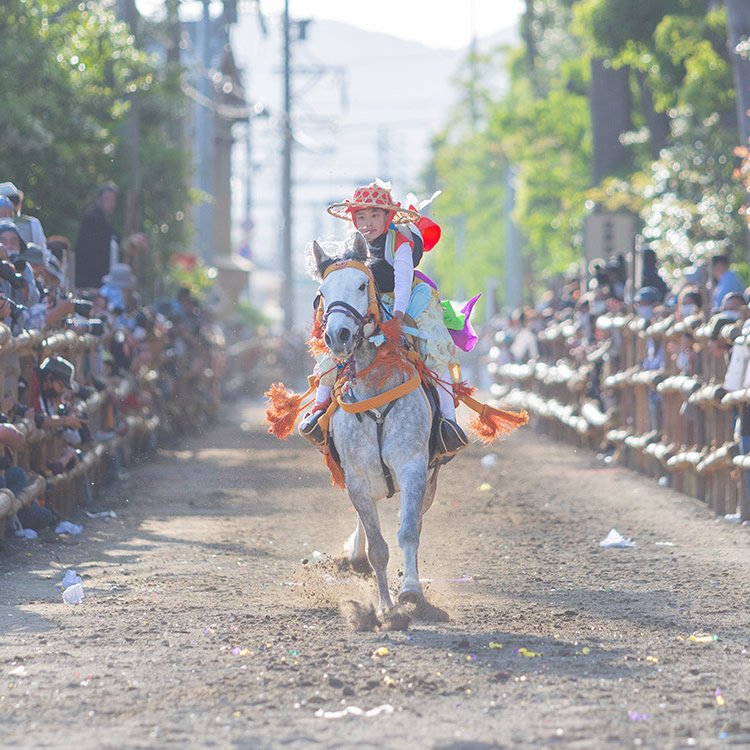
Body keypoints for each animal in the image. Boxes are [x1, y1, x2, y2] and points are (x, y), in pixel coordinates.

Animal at [312, 236, 440, 616]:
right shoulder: (356, 476)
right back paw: (355, 555)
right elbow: (378, 548)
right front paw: (385, 608)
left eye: (361, 284)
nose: (338, 335)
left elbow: (409, 531)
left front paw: (410, 591)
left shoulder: (413, 466)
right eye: (322, 292)